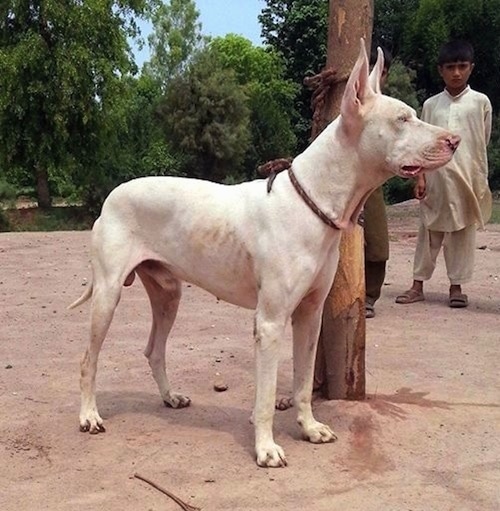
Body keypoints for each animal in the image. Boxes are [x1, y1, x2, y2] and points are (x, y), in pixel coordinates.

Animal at [70, 41, 460, 468]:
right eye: (402, 119)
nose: (455, 140)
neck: (313, 201)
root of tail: (112, 195)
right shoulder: (270, 322)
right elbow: (267, 396)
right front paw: (266, 448)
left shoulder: (310, 315)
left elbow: (303, 383)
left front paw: (309, 428)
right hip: (108, 295)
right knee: (88, 358)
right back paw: (89, 416)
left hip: (168, 294)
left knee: (154, 349)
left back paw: (170, 397)